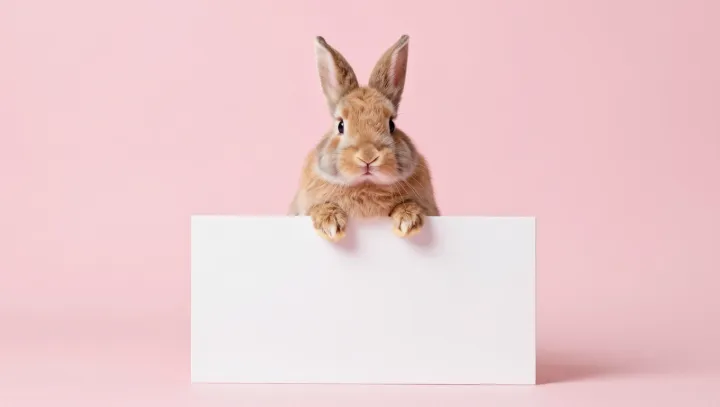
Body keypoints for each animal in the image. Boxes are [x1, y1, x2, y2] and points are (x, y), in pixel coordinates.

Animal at [288, 35, 440, 242]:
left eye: (391, 125)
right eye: (340, 125)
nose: (368, 156)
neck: (366, 186)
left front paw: (408, 221)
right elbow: (320, 207)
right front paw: (330, 225)